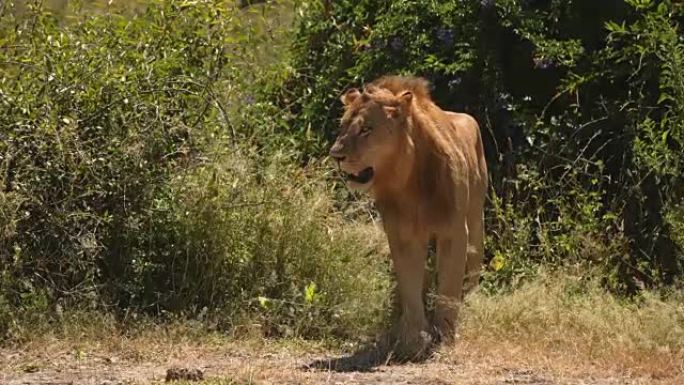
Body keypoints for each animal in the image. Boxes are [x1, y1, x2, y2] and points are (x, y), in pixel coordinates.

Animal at [330, 76, 486, 360]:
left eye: (366, 129)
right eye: (343, 127)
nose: (336, 155)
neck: (408, 182)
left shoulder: (454, 232)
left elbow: (448, 287)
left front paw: (445, 336)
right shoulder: (402, 234)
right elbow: (410, 286)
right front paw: (414, 340)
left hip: (476, 217)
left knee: (472, 266)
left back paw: (471, 301)